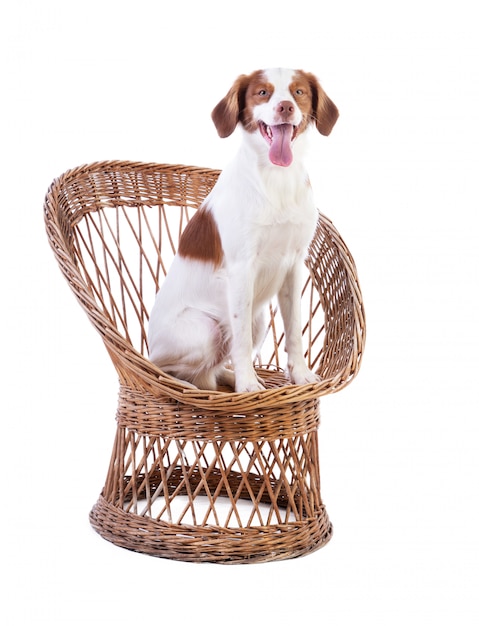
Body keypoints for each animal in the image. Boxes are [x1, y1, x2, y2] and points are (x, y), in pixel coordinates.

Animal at [148, 68, 340, 390]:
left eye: (298, 92)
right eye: (262, 93)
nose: (285, 107)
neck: (277, 180)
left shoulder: (293, 265)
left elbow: (294, 331)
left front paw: (300, 375)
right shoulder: (241, 269)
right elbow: (241, 342)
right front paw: (247, 386)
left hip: (259, 319)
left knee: (211, 372)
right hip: (204, 329)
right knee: (166, 369)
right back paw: (186, 386)